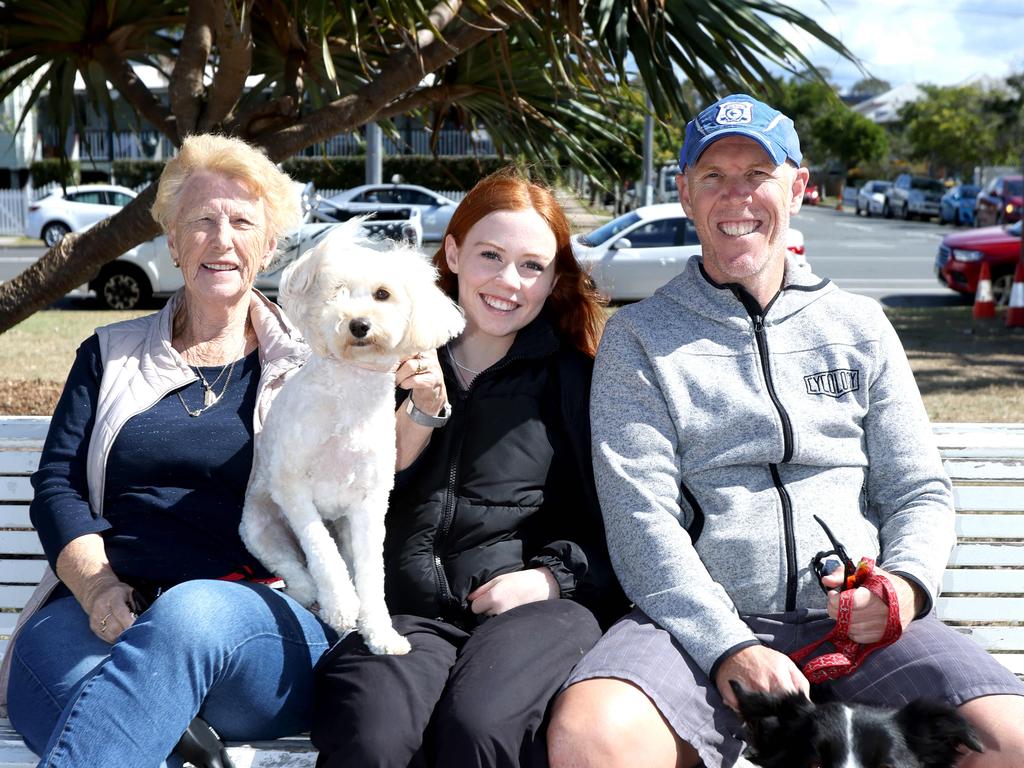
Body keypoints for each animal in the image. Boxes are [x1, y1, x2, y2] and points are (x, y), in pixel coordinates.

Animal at [239, 221, 464, 655]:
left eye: (383, 294)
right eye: (336, 292)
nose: (358, 324)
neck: (350, 392)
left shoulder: (369, 506)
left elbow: (372, 576)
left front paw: (380, 633)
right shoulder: (292, 488)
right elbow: (322, 552)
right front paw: (342, 607)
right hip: (260, 527)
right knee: (295, 566)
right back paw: (313, 593)